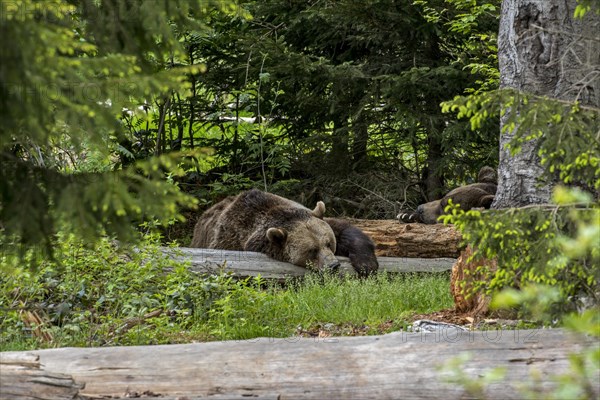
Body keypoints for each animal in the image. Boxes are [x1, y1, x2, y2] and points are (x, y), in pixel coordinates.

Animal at [192, 188, 378, 276]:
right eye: (312, 250)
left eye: (328, 243)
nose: (333, 265)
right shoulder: (230, 239)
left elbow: (345, 230)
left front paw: (367, 265)